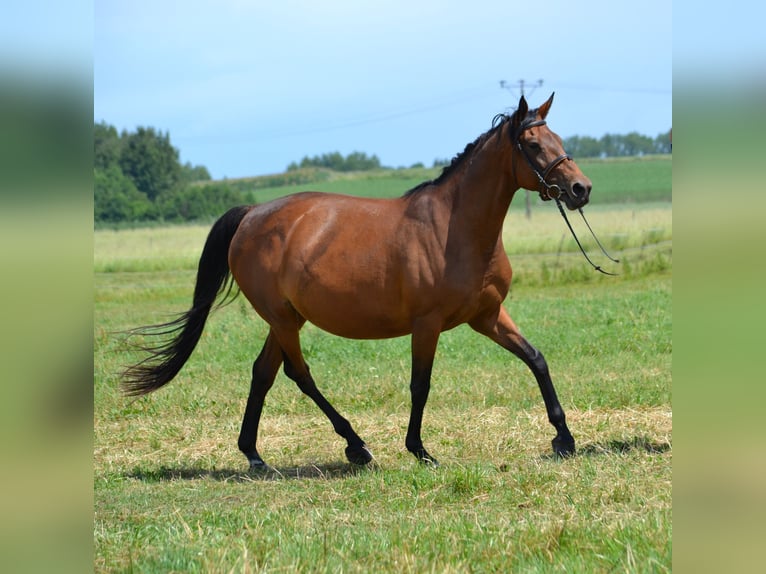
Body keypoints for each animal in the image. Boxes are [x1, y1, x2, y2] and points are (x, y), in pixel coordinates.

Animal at [124, 94, 592, 472]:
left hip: (285, 319)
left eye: (558, 139)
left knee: (263, 373)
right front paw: (420, 450)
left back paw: (254, 455)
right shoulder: (428, 324)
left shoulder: (488, 315)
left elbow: (536, 359)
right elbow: (420, 384)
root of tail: (252, 214)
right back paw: (356, 445)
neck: (454, 228)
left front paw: (564, 439)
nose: (580, 188)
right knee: (299, 374)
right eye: (533, 145)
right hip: (284, 320)